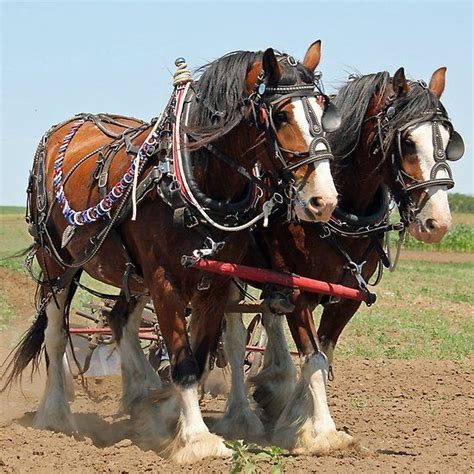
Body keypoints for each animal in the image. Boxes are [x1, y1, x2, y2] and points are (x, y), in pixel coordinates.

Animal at [1, 40, 338, 462]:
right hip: (58, 263)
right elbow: (183, 361)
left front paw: (173, 420)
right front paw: (196, 439)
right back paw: (57, 413)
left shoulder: (215, 282)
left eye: (323, 109)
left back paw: (141, 394)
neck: (193, 178)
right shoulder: (164, 280)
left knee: (120, 319)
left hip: (130, 271)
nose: (324, 200)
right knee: (56, 333)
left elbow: (201, 354)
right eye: (279, 115)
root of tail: (67, 125)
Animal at [221, 65, 462, 452]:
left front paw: (294, 415)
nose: (438, 224)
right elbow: (314, 358)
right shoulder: (299, 291)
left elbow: (323, 354)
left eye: (447, 137)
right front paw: (321, 431)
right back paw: (239, 416)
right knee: (233, 338)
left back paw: (273, 387)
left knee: (269, 318)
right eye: (408, 142)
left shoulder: (348, 296)